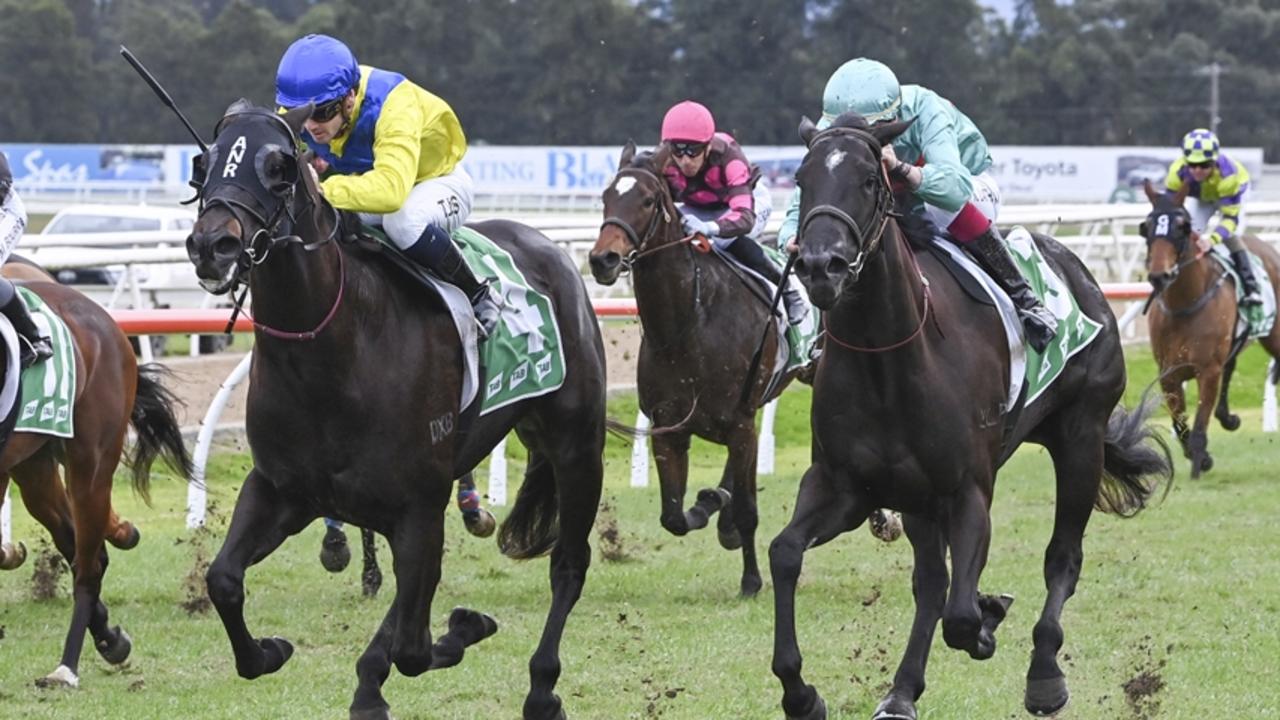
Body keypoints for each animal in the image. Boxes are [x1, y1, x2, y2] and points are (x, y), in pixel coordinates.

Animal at [0, 262, 192, 681]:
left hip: (92, 461)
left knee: (89, 565)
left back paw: (67, 667)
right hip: (33, 461)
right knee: (73, 542)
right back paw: (108, 637)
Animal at [185, 102, 609, 717]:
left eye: (280, 168)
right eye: (205, 163)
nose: (212, 245)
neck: (334, 355)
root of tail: (548, 246)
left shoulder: (417, 505)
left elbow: (414, 645)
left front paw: (462, 629)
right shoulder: (283, 489)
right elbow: (223, 579)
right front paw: (270, 651)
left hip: (577, 446)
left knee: (568, 565)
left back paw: (542, 687)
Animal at [586, 141, 803, 594]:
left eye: (647, 200)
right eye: (606, 196)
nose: (603, 259)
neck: (687, 323)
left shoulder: (740, 421)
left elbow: (749, 511)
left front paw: (751, 580)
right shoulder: (669, 427)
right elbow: (673, 517)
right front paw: (709, 506)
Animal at [762, 113, 1172, 717]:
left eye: (869, 179)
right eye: (801, 179)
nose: (820, 266)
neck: (887, 357)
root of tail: (1077, 268)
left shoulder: (968, 489)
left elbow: (959, 614)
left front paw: (985, 621)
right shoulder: (845, 487)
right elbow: (786, 552)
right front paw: (801, 692)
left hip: (1080, 436)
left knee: (1061, 557)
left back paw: (1044, 674)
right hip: (919, 497)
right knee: (932, 580)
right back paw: (902, 690)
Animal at [1141, 178, 1280, 476]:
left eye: (1181, 226)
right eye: (1146, 226)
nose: (1159, 275)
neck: (1185, 303)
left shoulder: (1207, 370)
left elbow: (1198, 428)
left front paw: (1200, 460)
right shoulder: (1168, 374)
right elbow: (1180, 425)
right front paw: (1200, 457)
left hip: (1274, 336)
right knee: (1231, 366)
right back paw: (1228, 418)